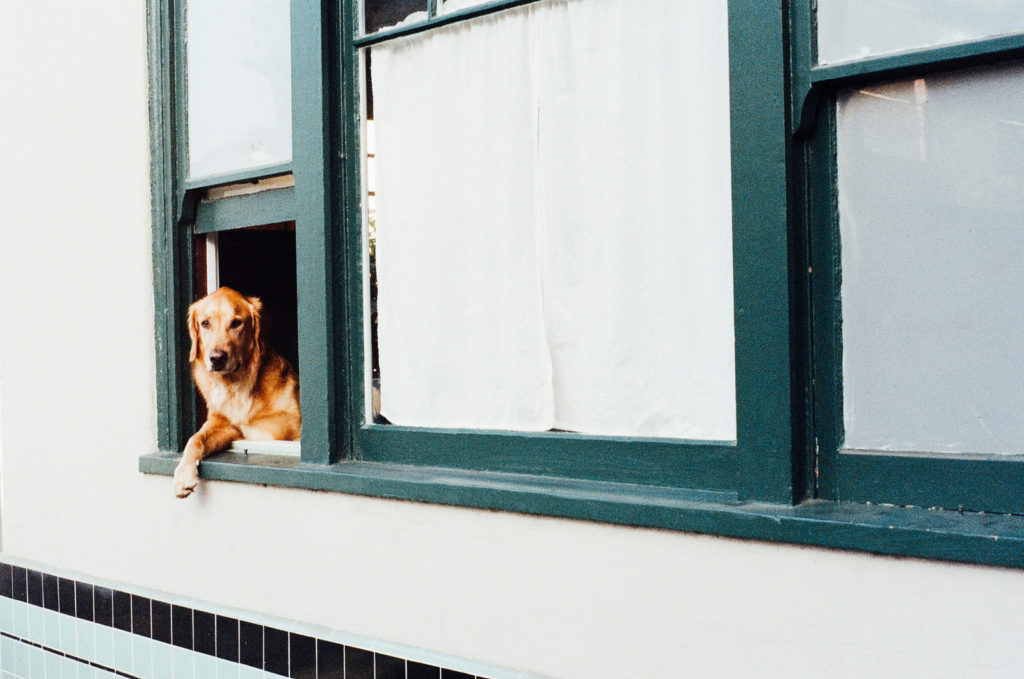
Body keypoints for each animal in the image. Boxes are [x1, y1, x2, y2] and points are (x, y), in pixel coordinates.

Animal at [171, 286, 299, 499]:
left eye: (236, 323)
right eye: (205, 323)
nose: (216, 358)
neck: (234, 385)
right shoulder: (221, 424)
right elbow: (195, 439)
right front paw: (183, 475)